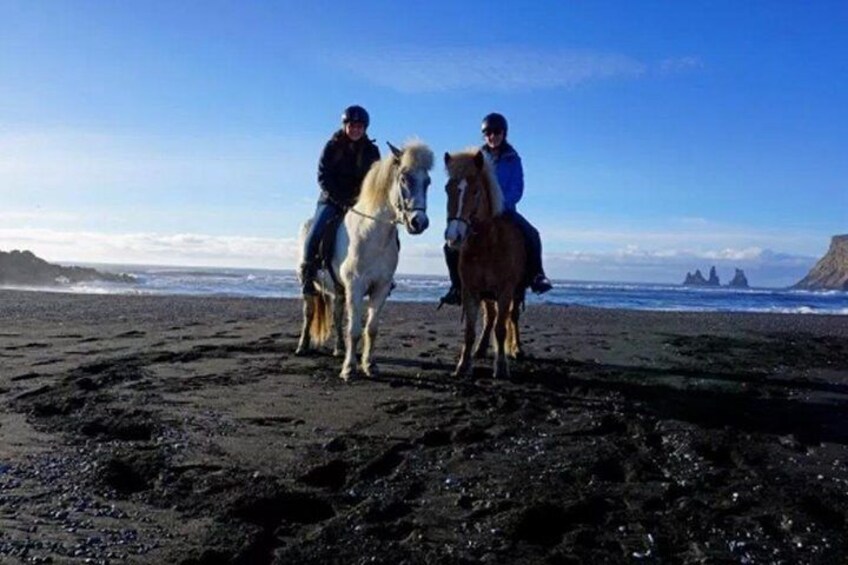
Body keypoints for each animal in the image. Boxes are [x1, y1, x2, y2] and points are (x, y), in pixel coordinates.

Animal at [296, 140, 430, 378]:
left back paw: (339, 349)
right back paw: (303, 346)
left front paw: (369, 365)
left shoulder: (381, 287)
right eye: (404, 178)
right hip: (310, 285)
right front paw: (349, 369)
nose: (419, 222)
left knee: (337, 315)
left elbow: (371, 328)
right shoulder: (356, 286)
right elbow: (355, 329)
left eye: (428, 182)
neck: (371, 234)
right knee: (309, 313)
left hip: (338, 289)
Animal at [440, 149, 528, 378]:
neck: (487, 244)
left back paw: (516, 349)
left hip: (517, 291)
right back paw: (480, 349)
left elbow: (501, 328)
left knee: (512, 317)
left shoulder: (505, 291)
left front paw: (502, 367)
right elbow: (471, 330)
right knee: (491, 317)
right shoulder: (470, 290)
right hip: (487, 295)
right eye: (447, 189)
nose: (454, 237)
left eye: (476, 191)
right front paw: (463, 365)